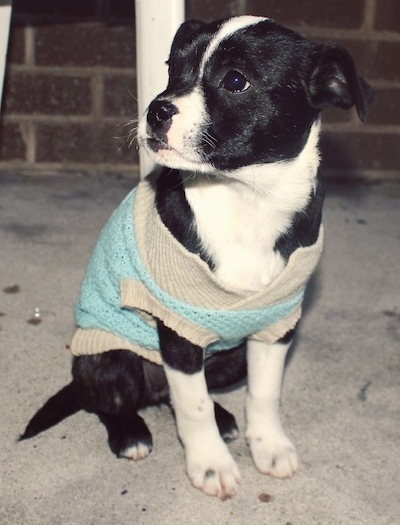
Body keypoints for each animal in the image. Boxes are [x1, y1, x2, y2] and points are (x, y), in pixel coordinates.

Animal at [20, 16, 374, 498]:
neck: (247, 200)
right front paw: (210, 464)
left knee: (176, 394)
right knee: (114, 402)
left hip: (229, 359)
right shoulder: (179, 333)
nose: (156, 109)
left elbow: (264, 393)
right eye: (173, 69)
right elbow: (193, 405)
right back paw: (130, 434)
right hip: (109, 360)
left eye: (236, 80)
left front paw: (269, 444)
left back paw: (224, 420)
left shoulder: (278, 327)